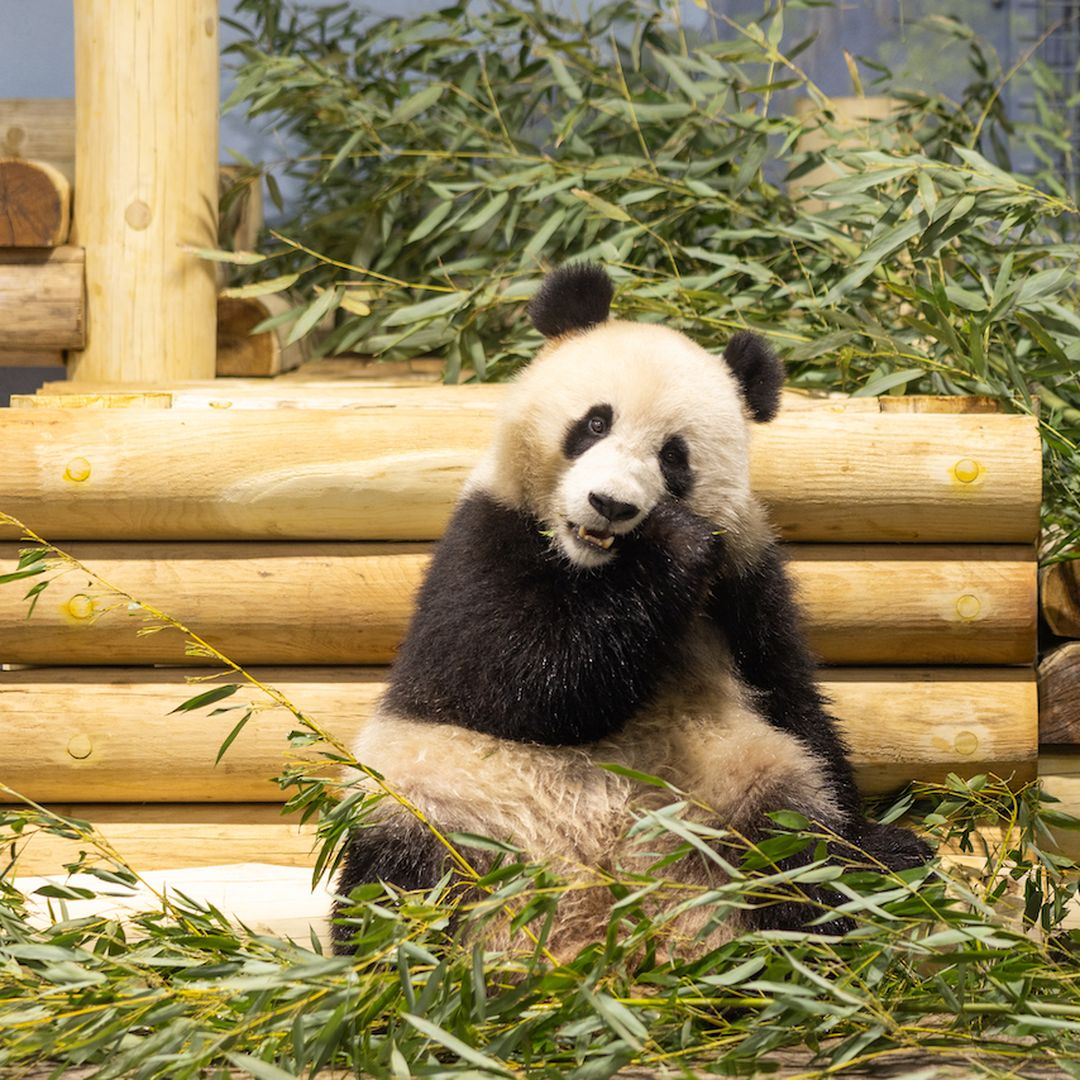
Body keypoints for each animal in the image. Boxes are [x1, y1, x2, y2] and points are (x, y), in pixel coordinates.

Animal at [332, 263, 929, 957]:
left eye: (674, 455)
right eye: (595, 424)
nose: (611, 504)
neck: (602, 572)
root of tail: (598, 936)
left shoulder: (745, 581)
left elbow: (792, 697)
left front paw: (887, 844)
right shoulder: (482, 541)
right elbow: (521, 684)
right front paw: (673, 544)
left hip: (742, 792)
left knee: (797, 855)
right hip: (443, 805)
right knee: (400, 888)